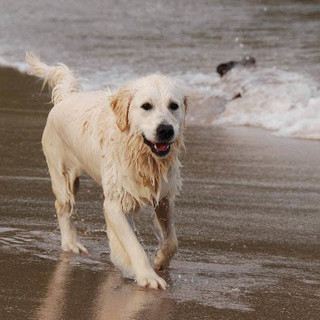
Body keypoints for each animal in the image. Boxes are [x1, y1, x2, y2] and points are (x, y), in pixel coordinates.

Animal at [26, 53, 188, 290]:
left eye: (174, 106)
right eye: (146, 106)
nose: (165, 130)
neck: (142, 155)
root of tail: (66, 98)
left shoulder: (164, 196)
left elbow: (172, 240)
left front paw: (159, 260)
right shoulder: (115, 203)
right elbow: (134, 245)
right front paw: (147, 276)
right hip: (62, 172)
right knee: (62, 206)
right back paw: (72, 244)